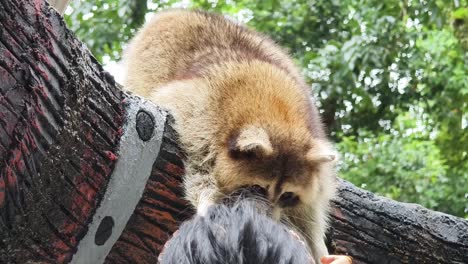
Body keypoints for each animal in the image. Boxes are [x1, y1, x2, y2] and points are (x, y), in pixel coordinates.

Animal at [124, 8, 336, 260]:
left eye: (287, 196)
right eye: (258, 189)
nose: (270, 221)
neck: (278, 115)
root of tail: (176, 11)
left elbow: (312, 206)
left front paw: (315, 241)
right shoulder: (199, 115)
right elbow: (200, 169)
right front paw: (208, 202)